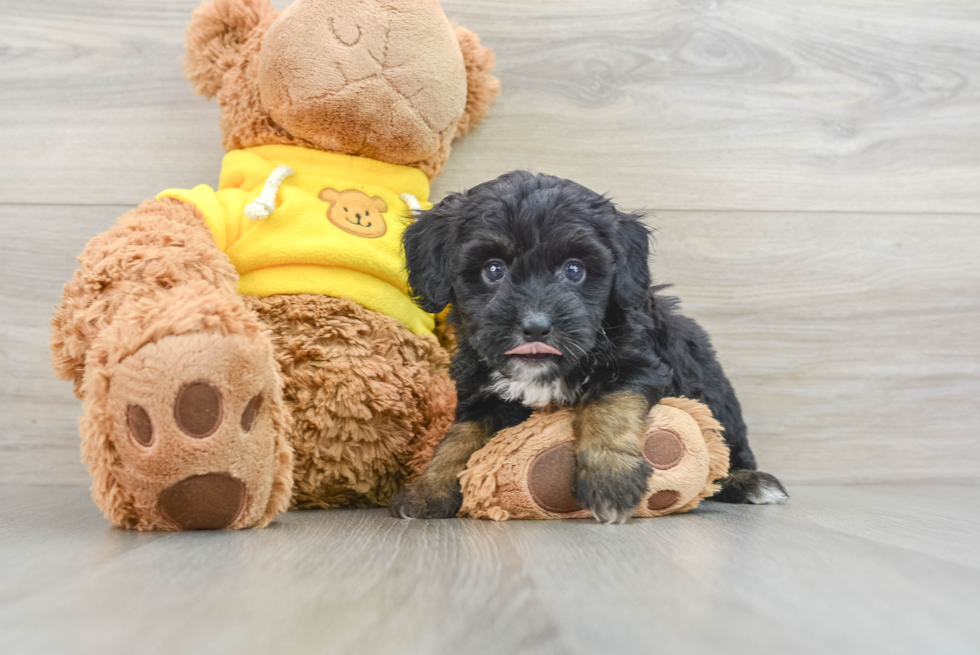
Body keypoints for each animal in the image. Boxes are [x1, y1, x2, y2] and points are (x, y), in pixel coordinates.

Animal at [392, 172, 788, 524]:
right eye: (493, 270)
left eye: (574, 270)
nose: (536, 326)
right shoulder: (482, 394)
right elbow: (459, 438)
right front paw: (428, 489)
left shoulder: (636, 365)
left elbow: (608, 407)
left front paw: (610, 479)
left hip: (715, 394)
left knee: (727, 452)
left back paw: (750, 482)